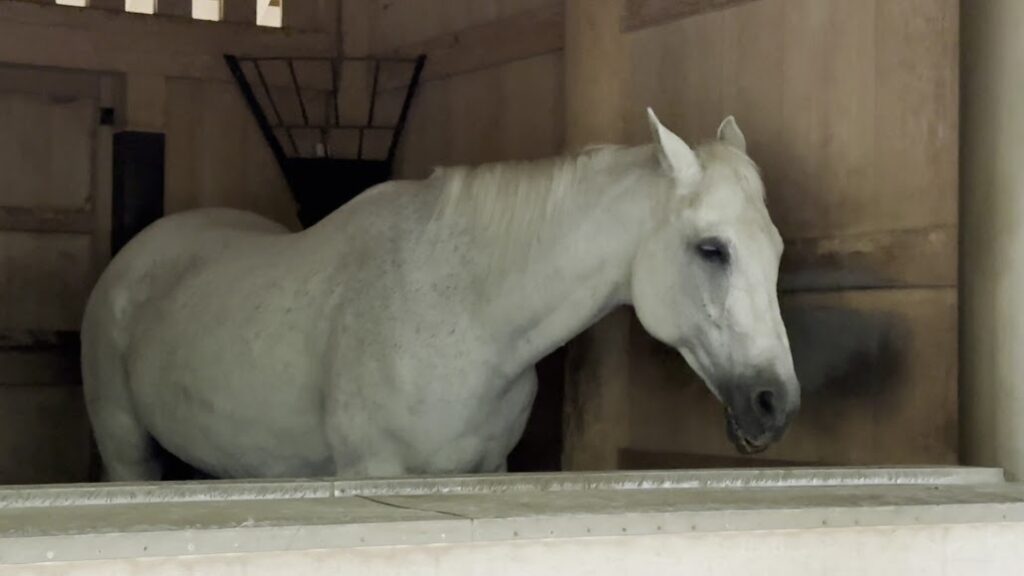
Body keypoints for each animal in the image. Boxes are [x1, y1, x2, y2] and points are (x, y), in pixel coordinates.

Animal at [80, 109, 800, 481]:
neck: (468, 316)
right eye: (712, 249)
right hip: (126, 453)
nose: (775, 402)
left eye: (776, 251)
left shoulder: (489, 471)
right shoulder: (370, 472)